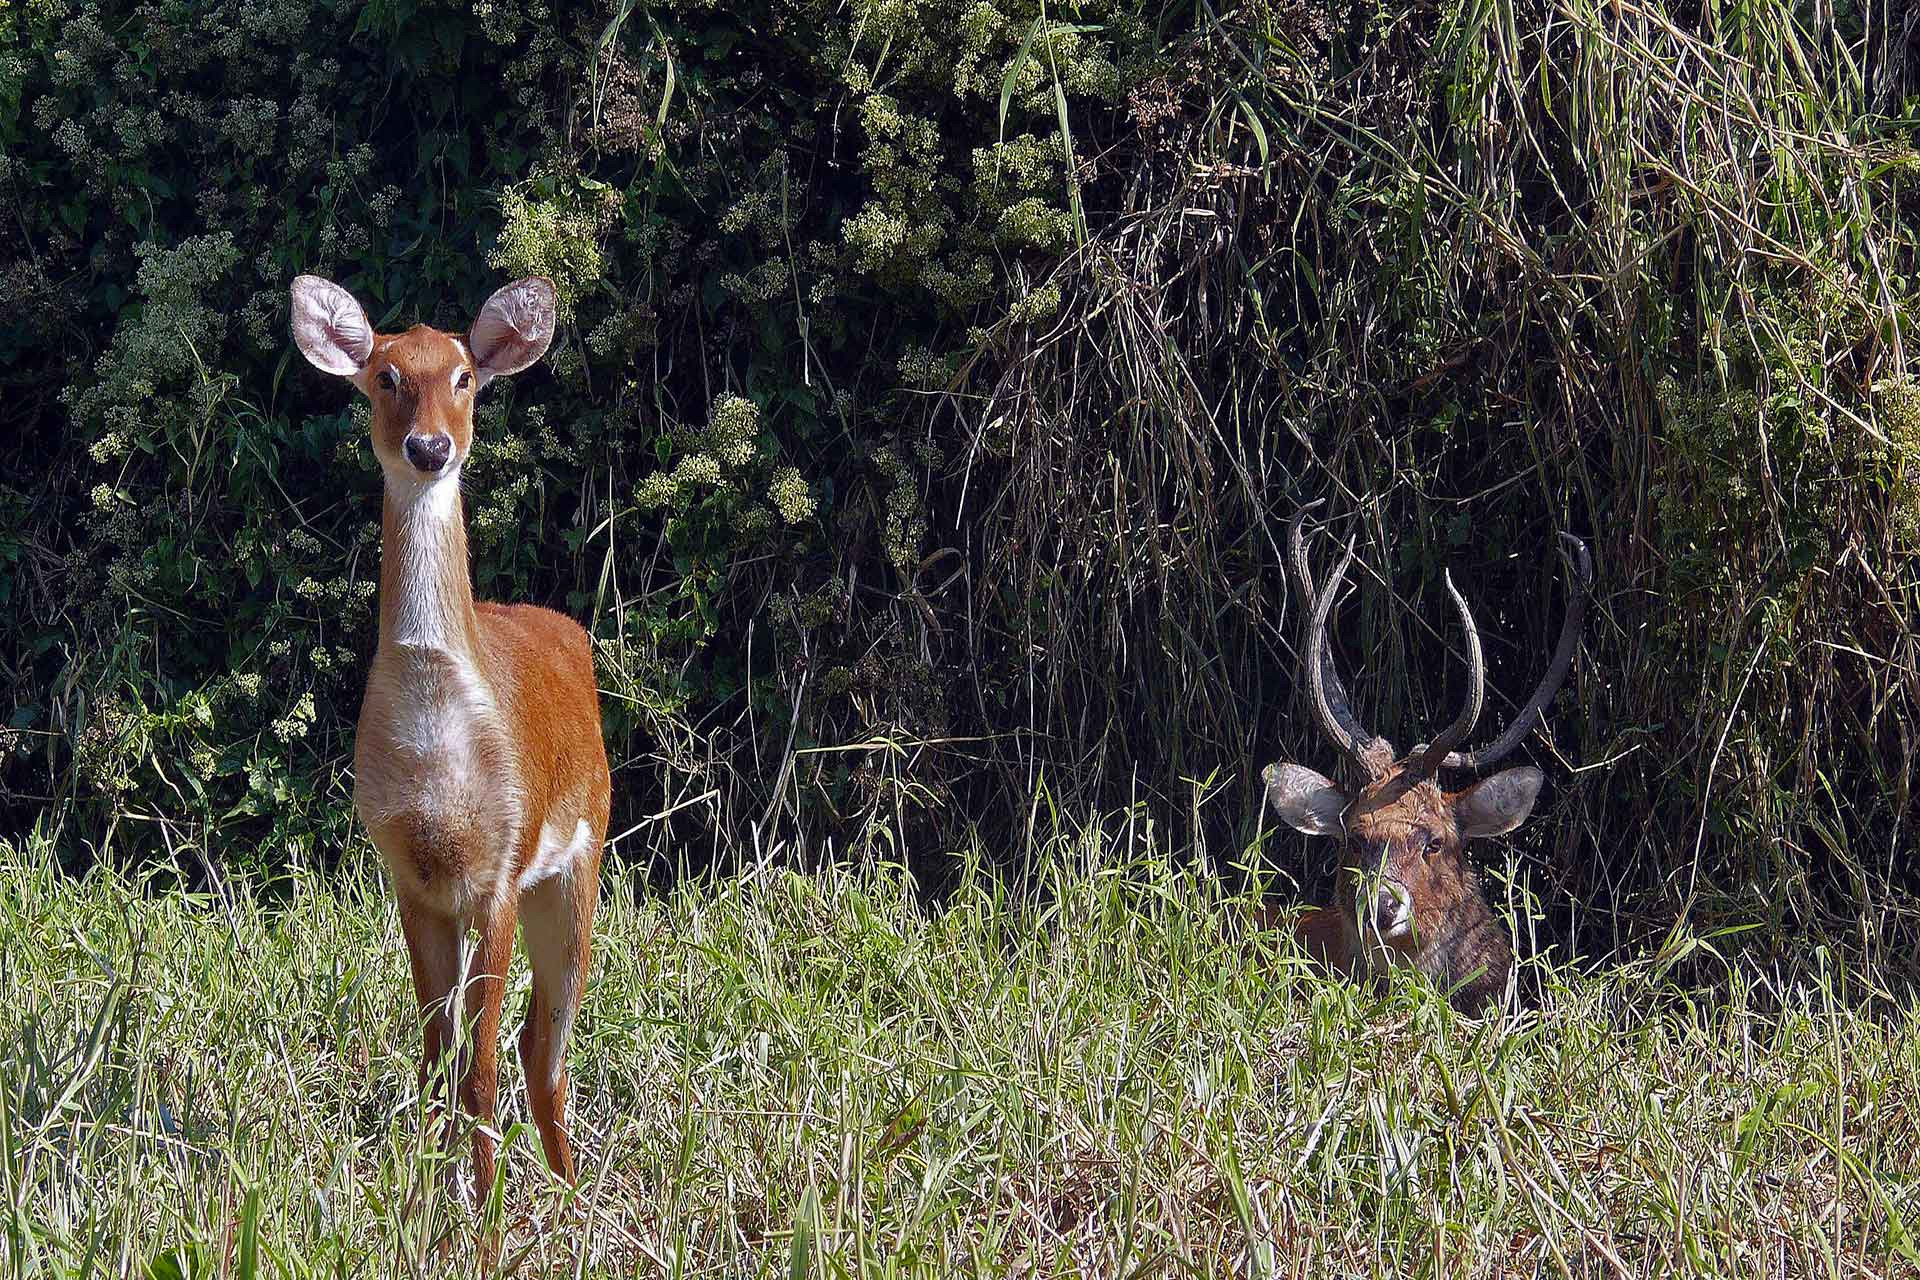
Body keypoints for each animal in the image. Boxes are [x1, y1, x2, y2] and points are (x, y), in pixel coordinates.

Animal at [290, 274, 611, 1204]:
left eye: (466, 376)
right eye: (386, 375)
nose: (430, 447)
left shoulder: (499, 866)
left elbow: (481, 1070)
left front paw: (486, 1217)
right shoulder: (411, 874)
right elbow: (436, 1056)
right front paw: (425, 1202)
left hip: (580, 861)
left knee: (545, 1046)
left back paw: (571, 1200)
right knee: (531, 1044)